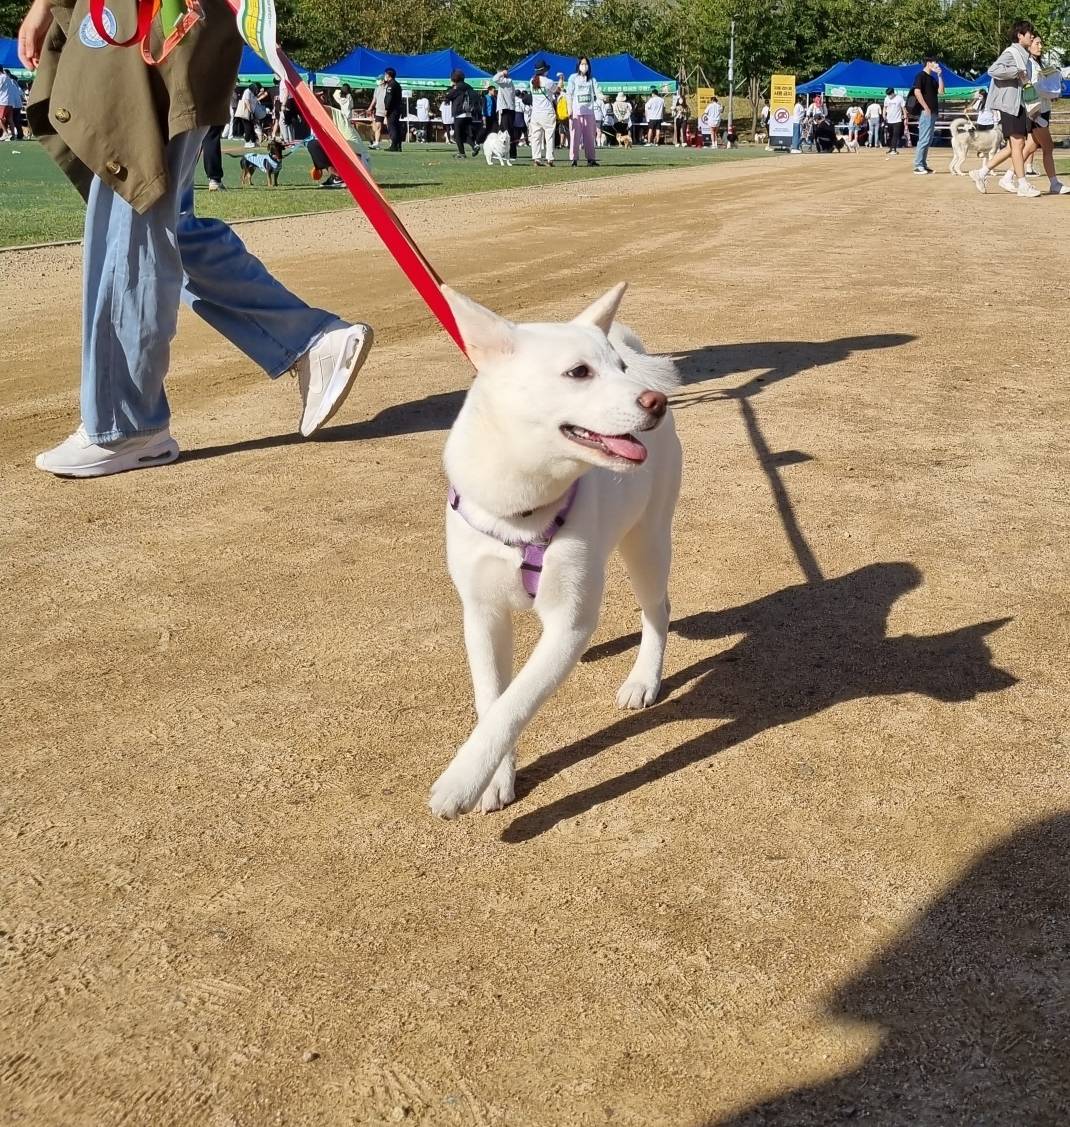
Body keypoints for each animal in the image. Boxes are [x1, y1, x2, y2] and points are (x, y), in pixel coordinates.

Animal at [428, 281, 685, 820]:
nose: (656, 402)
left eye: (618, 370)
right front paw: (494, 779)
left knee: (658, 609)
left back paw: (644, 678)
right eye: (578, 372)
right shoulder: (481, 613)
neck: (521, 513)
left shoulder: (567, 621)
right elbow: (491, 699)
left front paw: (462, 781)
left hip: (647, 544)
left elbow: (513, 704)